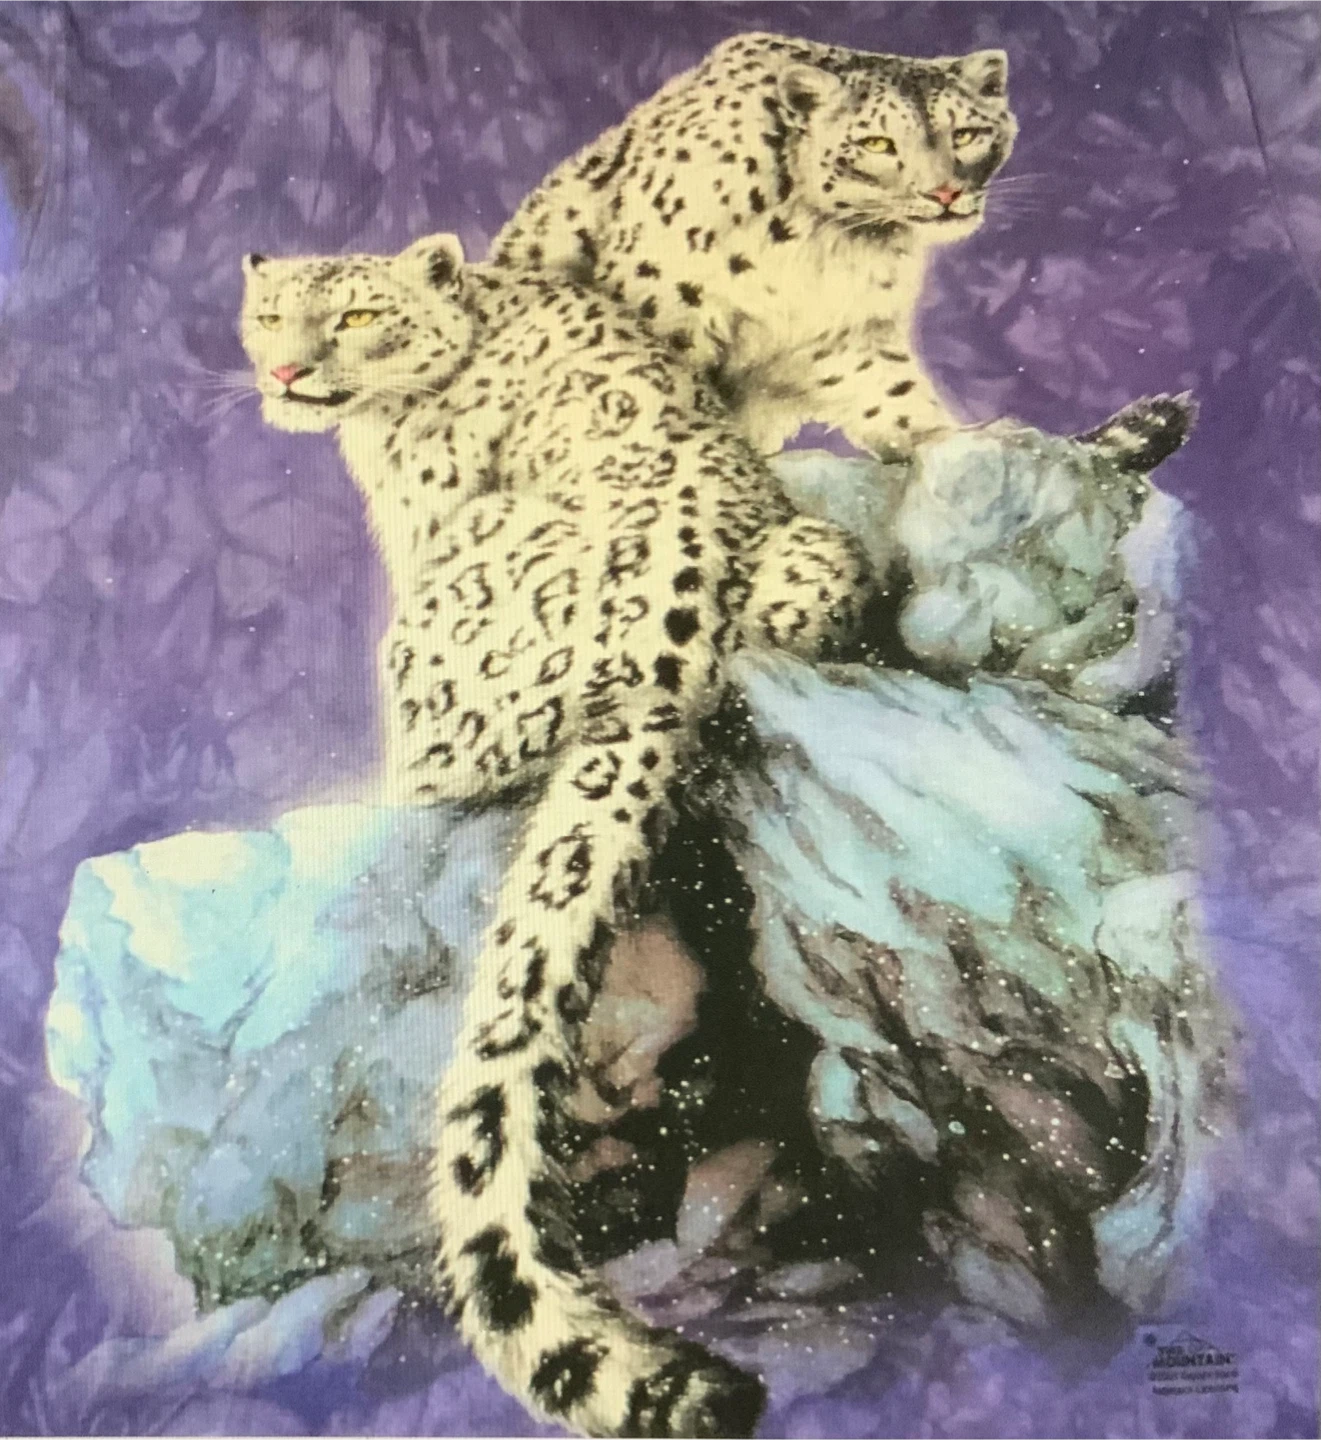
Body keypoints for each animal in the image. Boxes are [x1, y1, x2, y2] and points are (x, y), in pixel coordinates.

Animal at [239, 232, 871, 1438]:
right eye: (267, 316)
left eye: (355, 317)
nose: (288, 372)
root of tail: (664, 658)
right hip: (817, 563)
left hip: (442, 630)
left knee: (444, 764)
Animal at [491, 30, 1017, 459]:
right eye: (877, 143)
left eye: (966, 134)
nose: (945, 193)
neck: (824, 242)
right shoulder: (669, 308)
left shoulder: (847, 330)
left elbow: (889, 390)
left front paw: (946, 440)